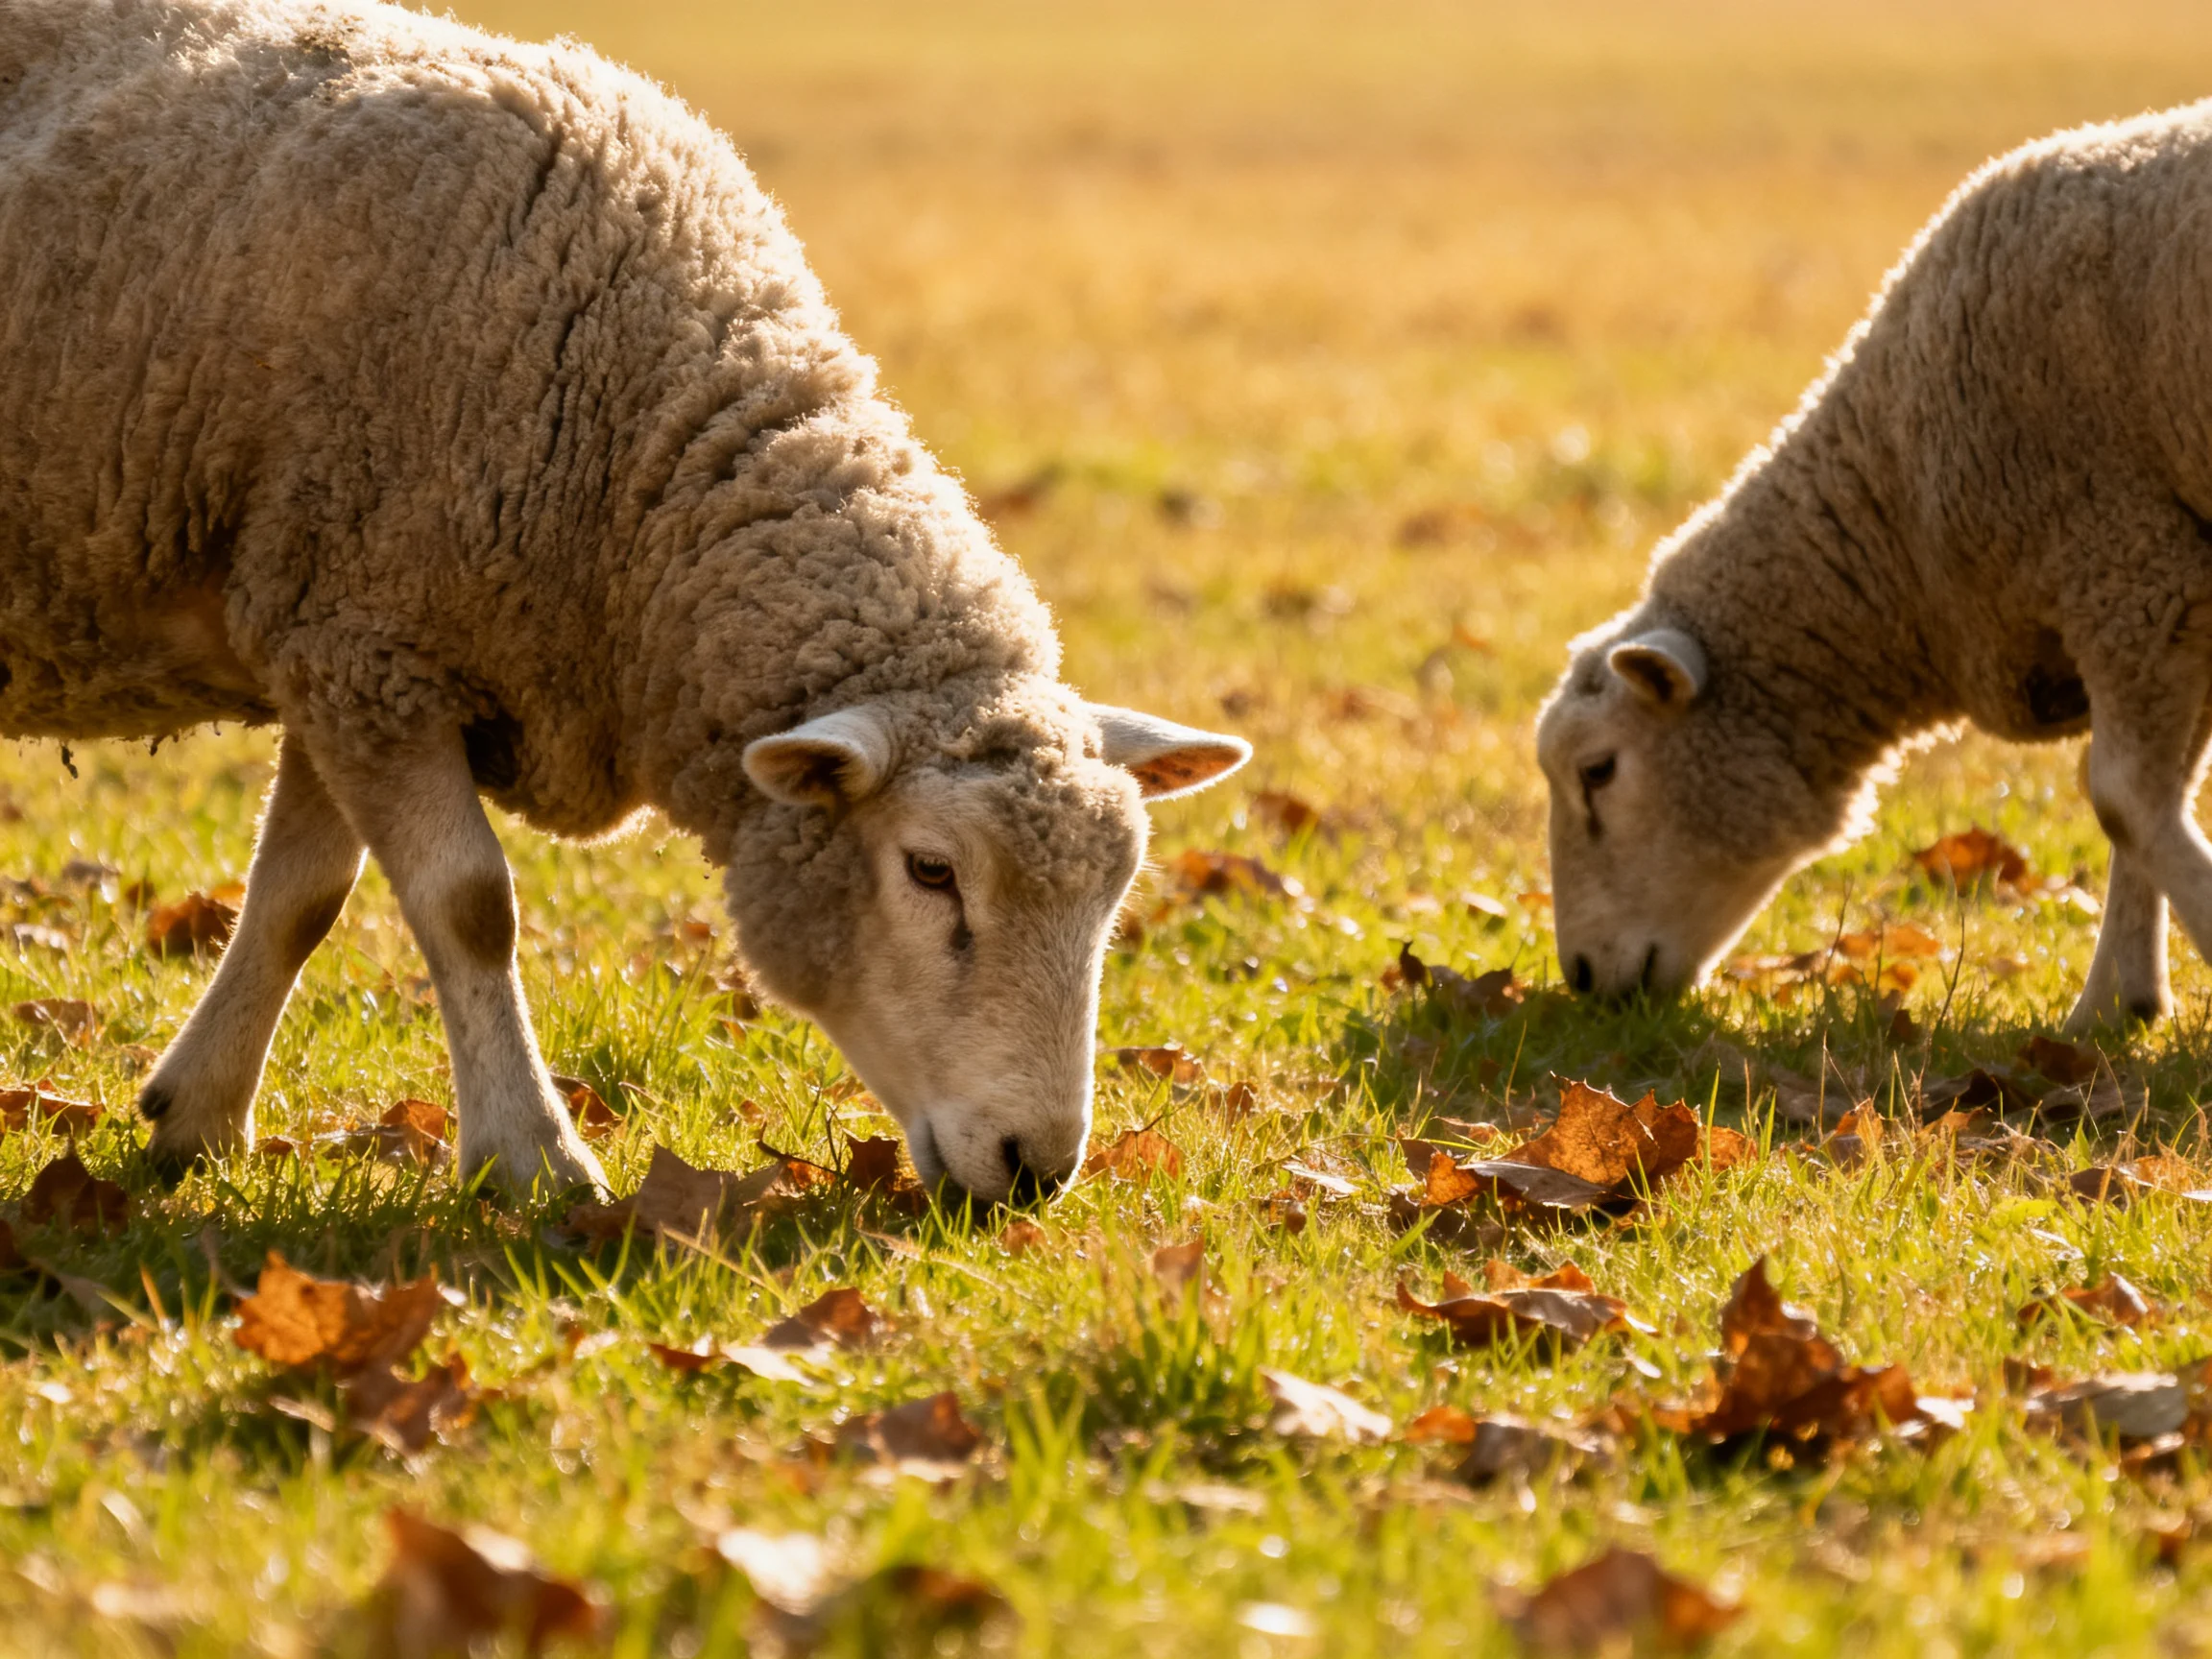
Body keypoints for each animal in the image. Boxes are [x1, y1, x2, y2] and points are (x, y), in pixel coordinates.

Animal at [0, 0, 1249, 1202]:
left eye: (1116, 895)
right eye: (931, 871)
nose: (1039, 1168)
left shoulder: (335, 632)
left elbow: (301, 895)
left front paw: (200, 1120)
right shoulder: (364, 644)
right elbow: (470, 904)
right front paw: (530, 1156)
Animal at [1537, 100, 2212, 1030]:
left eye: (1597, 771)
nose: (1579, 977)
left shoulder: (2122, 557)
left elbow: (2123, 797)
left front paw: (2121, 995)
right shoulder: (2170, 588)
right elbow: (2154, 794)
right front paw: (2120, 1003)